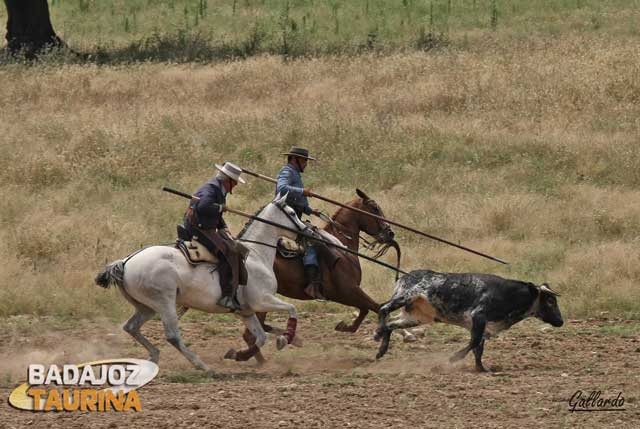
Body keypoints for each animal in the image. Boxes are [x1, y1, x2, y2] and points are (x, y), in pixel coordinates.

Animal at [94, 194, 304, 372]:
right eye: (293, 213)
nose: (306, 231)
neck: (257, 254)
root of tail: (126, 261)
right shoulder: (262, 301)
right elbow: (291, 309)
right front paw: (285, 339)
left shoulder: (246, 311)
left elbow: (260, 337)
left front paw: (238, 355)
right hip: (164, 303)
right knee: (172, 336)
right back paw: (202, 365)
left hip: (147, 307)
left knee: (131, 327)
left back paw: (154, 356)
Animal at [235, 189, 400, 362]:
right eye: (375, 208)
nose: (390, 232)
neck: (341, 248)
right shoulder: (347, 292)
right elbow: (376, 307)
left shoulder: (349, 294)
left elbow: (365, 309)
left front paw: (344, 327)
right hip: (262, 300)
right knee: (251, 334)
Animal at [372, 270, 564, 370]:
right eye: (550, 300)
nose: (561, 321)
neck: (506, 294)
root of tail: (407, 275)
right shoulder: (478, 316)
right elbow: (474, 342)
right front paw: (454, 358)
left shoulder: (484, 326)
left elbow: (479, 349)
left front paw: (482, 369)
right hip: (404, 297)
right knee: (383, 308)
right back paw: (378, 334)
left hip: (415, 317)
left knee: (391, 324)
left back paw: (381, 348)